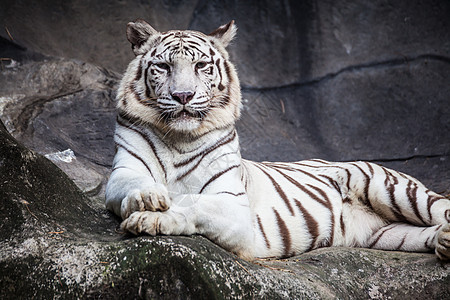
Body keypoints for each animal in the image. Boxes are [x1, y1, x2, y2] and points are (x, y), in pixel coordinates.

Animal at [106, 19, 450, 260]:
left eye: (201, 65)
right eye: (163, 67)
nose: (183, 96)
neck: (179, 136)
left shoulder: (233, 205)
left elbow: (192, 202)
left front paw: (152, 218)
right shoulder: (122, 172)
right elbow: (134, 184)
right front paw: (148, 199)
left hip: (390, 187)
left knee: (440, 207)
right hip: (386, 234)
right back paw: (444, 242)